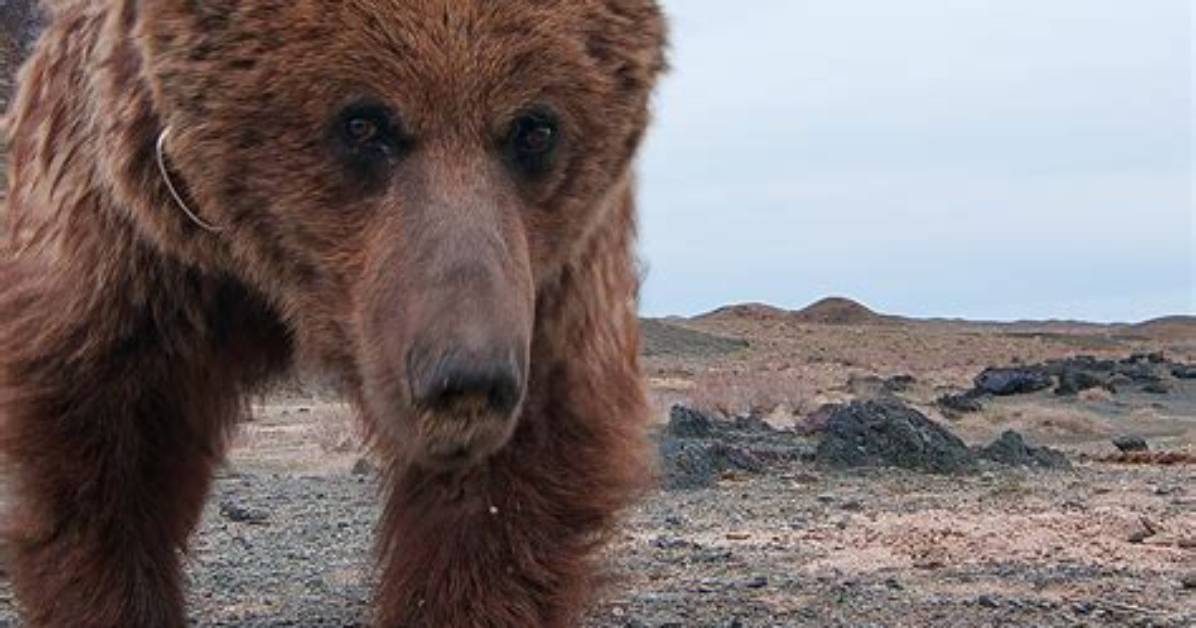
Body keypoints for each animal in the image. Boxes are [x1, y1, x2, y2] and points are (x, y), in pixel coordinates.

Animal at [0, 0, 666, 626]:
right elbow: (103, 461)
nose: (467, 379)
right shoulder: (131, 247)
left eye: (534, 129)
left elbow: (512, 490)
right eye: (364, 123)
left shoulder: (550, 276)